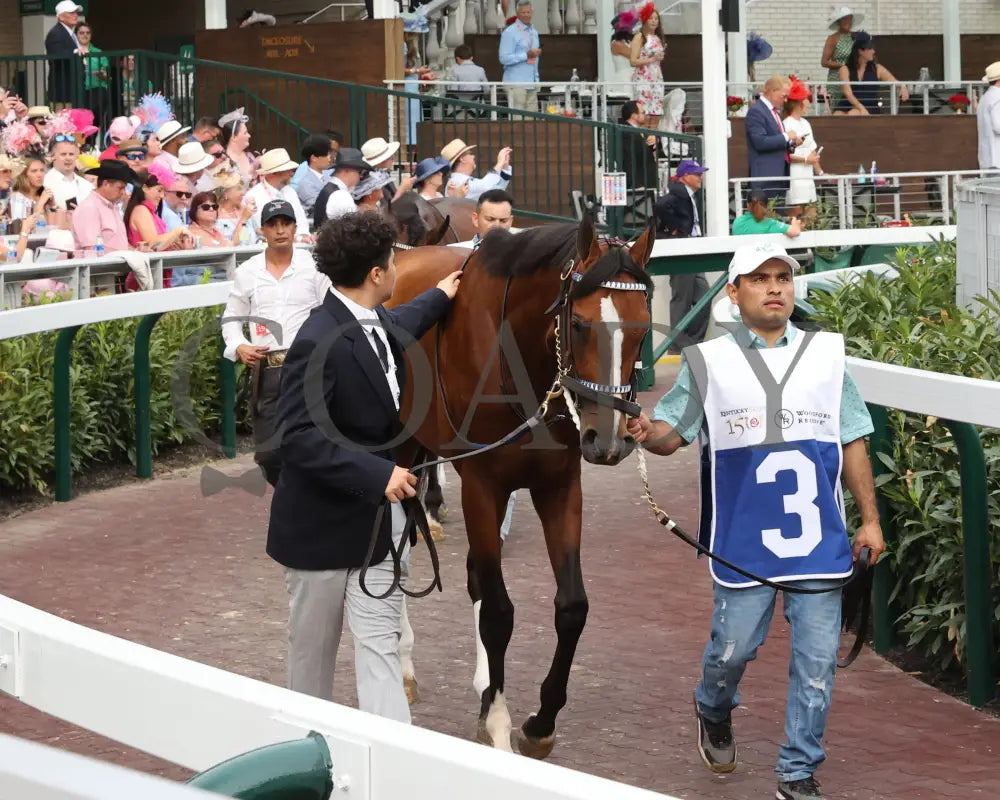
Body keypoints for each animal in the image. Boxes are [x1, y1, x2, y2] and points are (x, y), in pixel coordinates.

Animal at [384, 216, 656, 752]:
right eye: (579, 324)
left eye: (641, 328)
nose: (609, 440)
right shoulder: (482, 486)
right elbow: (498, 612)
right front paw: (498, 722)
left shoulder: (559, 485)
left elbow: (572, 607)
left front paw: (538, 723)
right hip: (401, 453)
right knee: (398, 558)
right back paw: (403, 667)